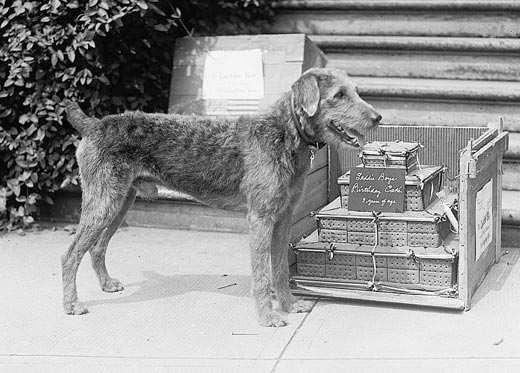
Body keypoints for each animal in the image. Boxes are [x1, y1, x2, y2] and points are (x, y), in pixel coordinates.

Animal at [62, 67, 382, 326]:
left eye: (355, 90)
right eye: (339, 95)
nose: (377, 118)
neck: (284, 134)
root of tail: (93, 125)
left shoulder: (283, 217)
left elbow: (279, 269)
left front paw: (289, 305)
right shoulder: (260, 218)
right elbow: (262, 274)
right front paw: (267, 318)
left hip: (120, 202)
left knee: (96, 248)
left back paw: (106, 284)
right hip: (103, 202)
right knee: (70, 254)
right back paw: (71, 305)